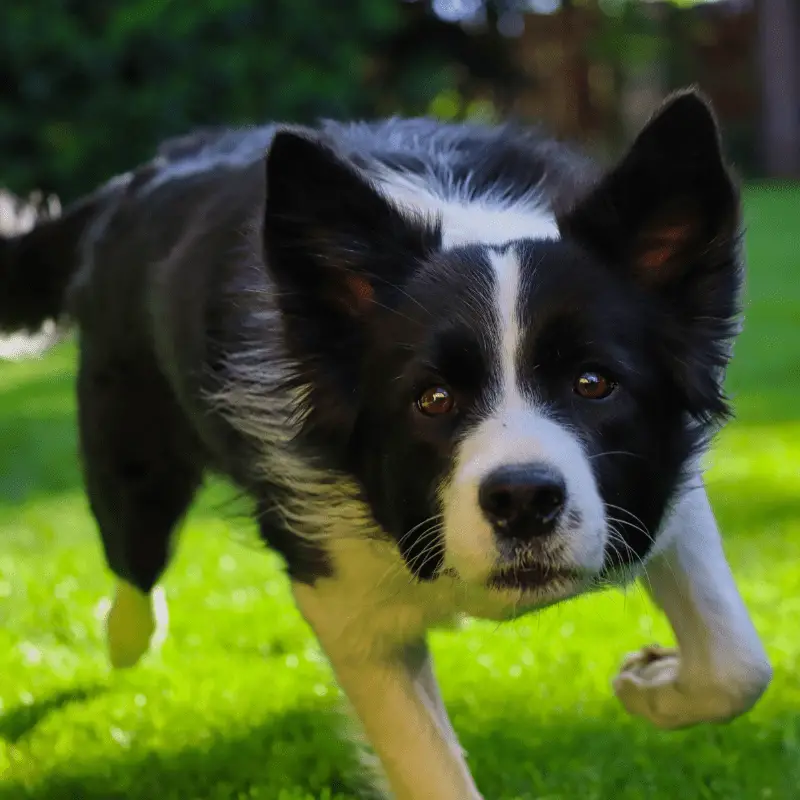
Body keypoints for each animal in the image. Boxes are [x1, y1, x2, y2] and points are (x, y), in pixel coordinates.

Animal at [1, 90, 776, 796]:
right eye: (431, 400)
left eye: (593, 382)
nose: (524, 502)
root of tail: (137, 180)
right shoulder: (341, 596)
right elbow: (428, 767)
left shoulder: (658, 483)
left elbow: (740, 664)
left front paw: (652, 684)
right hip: (132, 459)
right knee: (134, 564)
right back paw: (125, 638)